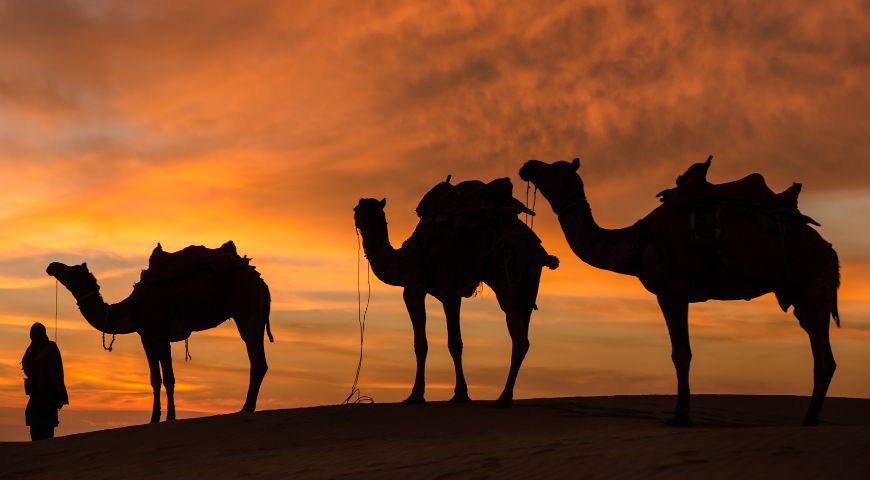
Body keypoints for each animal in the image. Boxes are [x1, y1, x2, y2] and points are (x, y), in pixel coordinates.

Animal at [46, 241, 273, 423]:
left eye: (72, 270)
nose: (52, 266)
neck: (131, 308)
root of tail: (260, 281)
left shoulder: (150, 334)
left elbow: (158, 378)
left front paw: (156, 418)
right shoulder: (161, 337)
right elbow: (167, 378)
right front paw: (168, 416)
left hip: (246, 311)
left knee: (257, 361)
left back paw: (246, 408)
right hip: (256, 317)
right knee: (260, 361)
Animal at [353, 178, 558, 406]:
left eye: (357, 210)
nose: (359, 219)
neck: (404, 260)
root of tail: (528, 240)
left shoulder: (419, 289)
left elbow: (431, 344)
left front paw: (420, 395)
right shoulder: (447, 293)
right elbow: (452, 343)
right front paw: (458, 393)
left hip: (506, 267)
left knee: (517, 331)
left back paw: (503, 398)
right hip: (530, 282)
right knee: (524, 327)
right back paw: (505, 396)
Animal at [519, 158, 840, 426]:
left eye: (556, 169)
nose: (528, 165)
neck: (638, 244)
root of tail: (829, 250)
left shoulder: (673, 289)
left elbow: (681, 353)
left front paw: (680, 417)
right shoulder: (670, 292)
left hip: (813, 286)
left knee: (822, 354)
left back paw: (809, 419)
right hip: (799, 292)